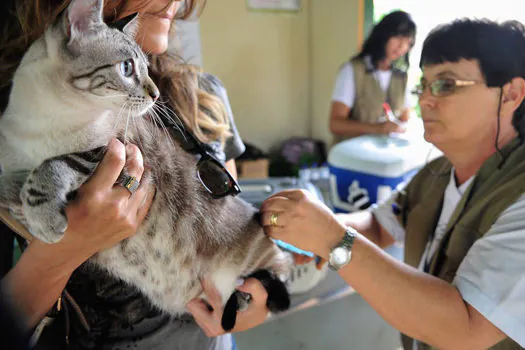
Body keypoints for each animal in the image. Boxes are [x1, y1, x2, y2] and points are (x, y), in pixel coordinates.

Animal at [0, 0, 290, 330]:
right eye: (127, 67)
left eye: (147, 68)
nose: (156, 94)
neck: (48, 120)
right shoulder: (10, 167)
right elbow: (10, 190)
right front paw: (32, 211)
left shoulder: (117, 149)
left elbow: (54, 164)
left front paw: (44, 216)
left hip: (259, 265)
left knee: (277, 281)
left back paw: (243, 298)